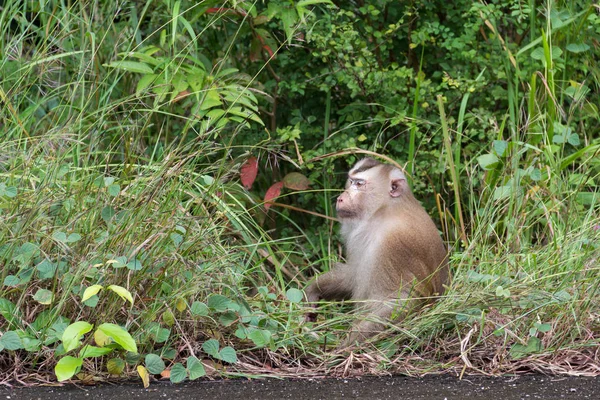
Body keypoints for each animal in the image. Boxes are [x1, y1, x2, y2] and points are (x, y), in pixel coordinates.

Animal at [308, 158, 448, 346]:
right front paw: (313, 290)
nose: (341, 198)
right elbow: (352, 275)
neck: (385, 211)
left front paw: (347, 344)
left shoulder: (393, 244)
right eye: (351, 181)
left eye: (359, 184)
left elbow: (401, 300)